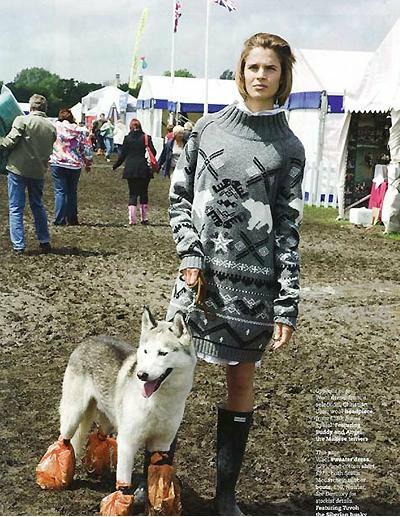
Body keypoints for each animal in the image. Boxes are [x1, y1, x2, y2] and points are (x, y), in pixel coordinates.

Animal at [59, 306, 196, 488]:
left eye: (162, 353)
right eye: (145, 351)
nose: (141, 375)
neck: (158, 402)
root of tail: (88, 340)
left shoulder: (162, 445)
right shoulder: (127, 444)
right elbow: (124, 482)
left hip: (107, 418)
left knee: (99, 435)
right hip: (73, 415)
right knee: (65, 439)